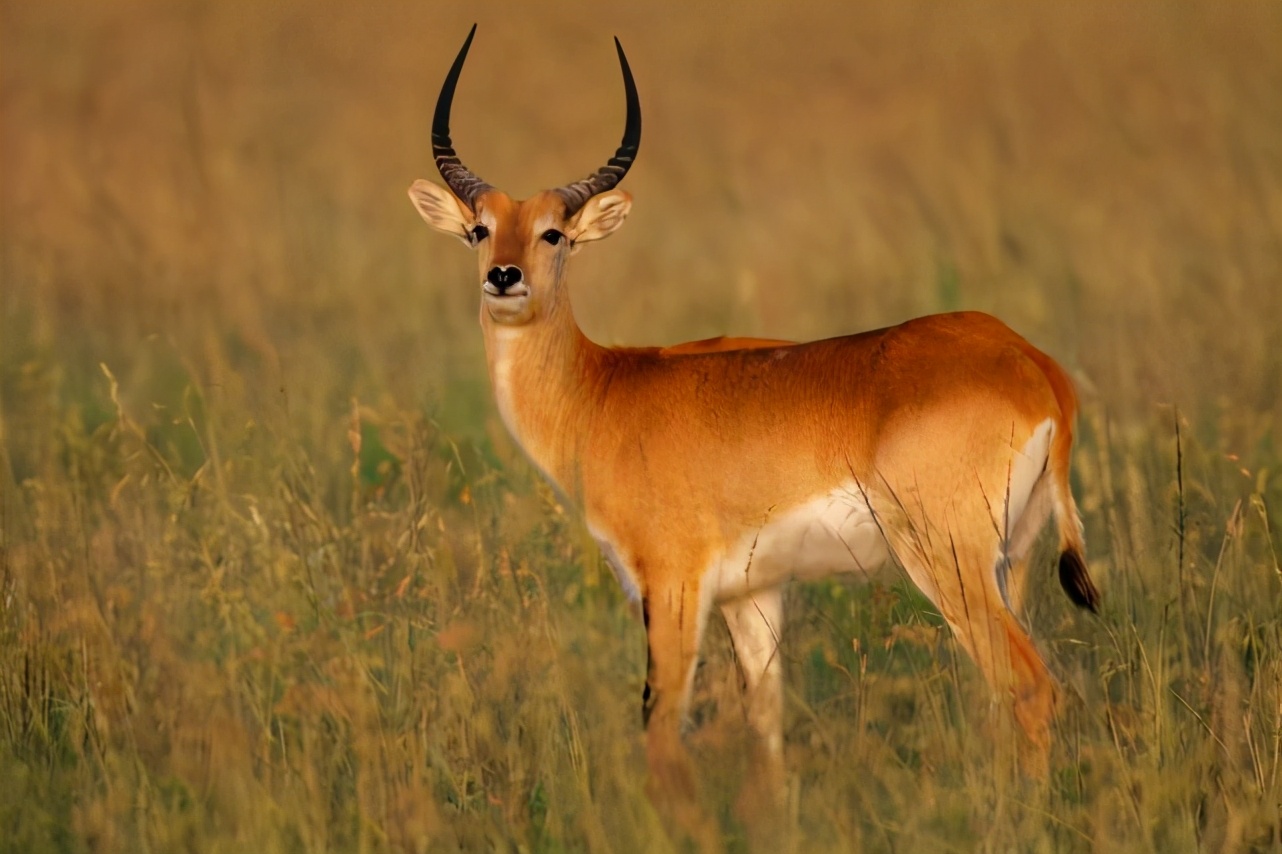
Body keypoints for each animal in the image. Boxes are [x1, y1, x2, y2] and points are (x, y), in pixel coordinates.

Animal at [410, 25, 1102, 820]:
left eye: (555, 233)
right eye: (479, 230)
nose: (505, 278)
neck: (603, 391)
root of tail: (1034, 365)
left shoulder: (672, 586)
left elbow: (661, 731)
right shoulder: (753, 596)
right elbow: (765, 734)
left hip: (948, 561)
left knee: (1029, 685)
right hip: (1009, 562)